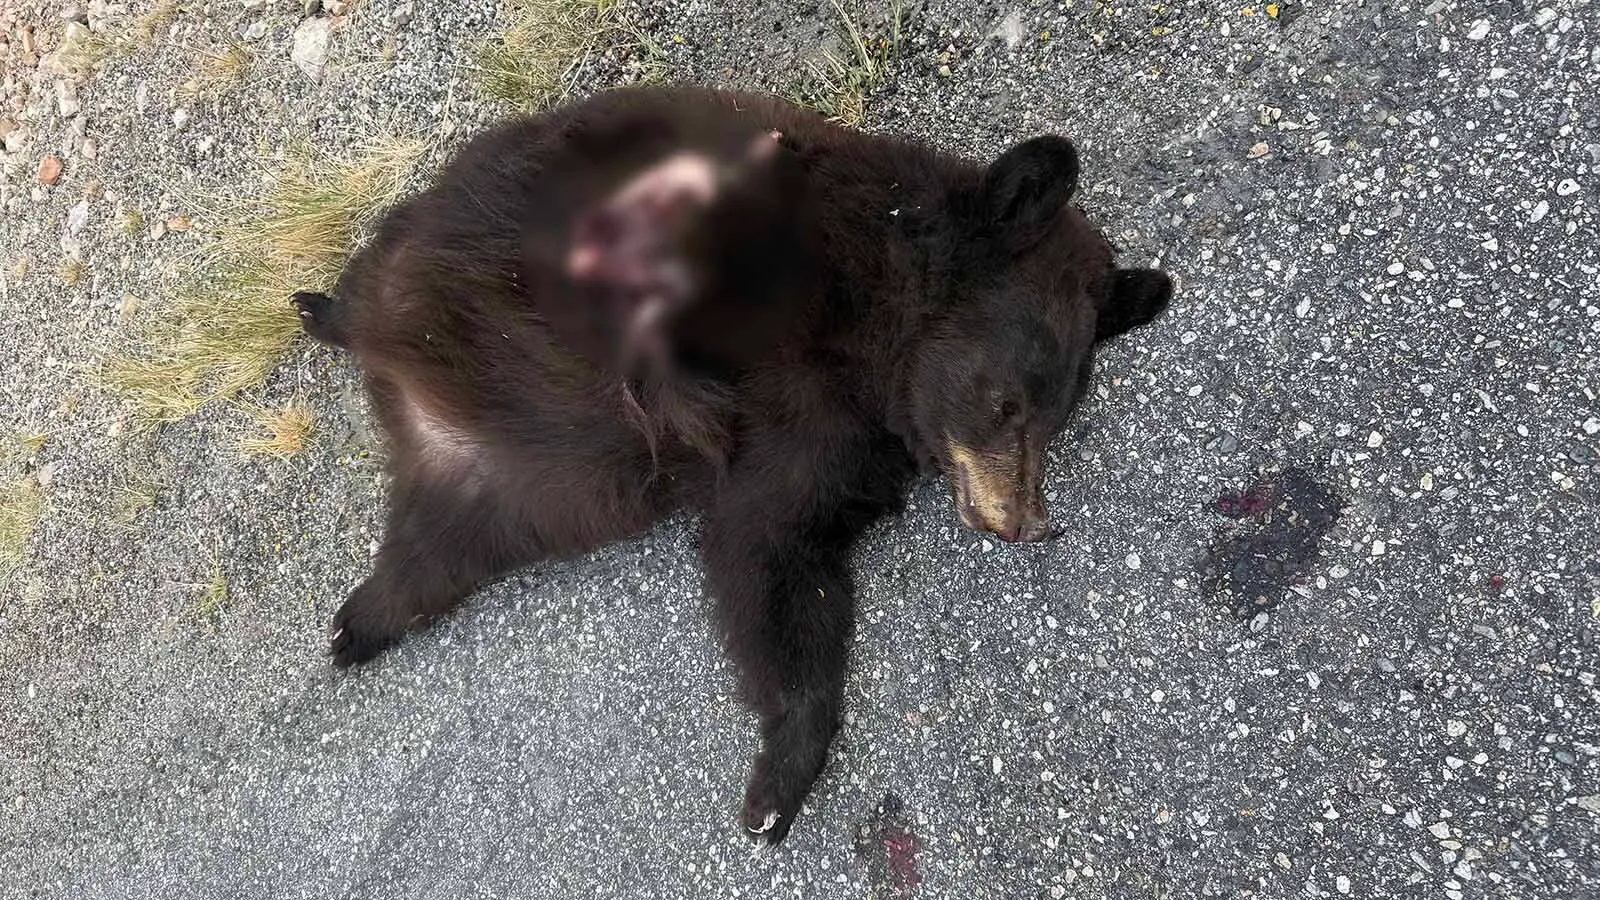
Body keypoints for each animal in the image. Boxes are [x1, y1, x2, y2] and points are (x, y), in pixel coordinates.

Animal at [293, 84, 1173, 845]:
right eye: (1008, 405)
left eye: (1054, 422)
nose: (1028, 524)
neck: (873, 345)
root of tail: (409, 401)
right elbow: (761, 551)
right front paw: (778, 787)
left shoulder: (819, 452)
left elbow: (779, 558)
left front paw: (777, 779)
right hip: (432, 261)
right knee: (368, 283)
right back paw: (316, 306)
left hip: (509, 500)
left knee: (425, 568)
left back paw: (352, 628)